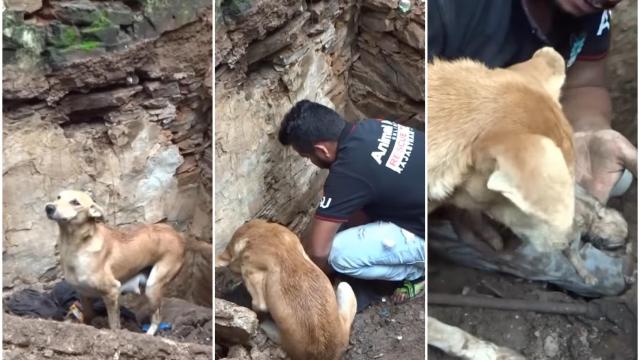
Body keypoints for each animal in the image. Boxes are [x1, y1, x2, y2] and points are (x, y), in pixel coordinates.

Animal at [44, 190, 185, 334]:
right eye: (58, 197)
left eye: (75, 202)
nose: (49, 208)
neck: (75, 246)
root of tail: (177, 235)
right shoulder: (84, 294)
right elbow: (87, 317)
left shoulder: (112, 292)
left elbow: (114, 324)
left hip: (153, 287)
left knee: (157, 317)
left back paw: (149, 333)